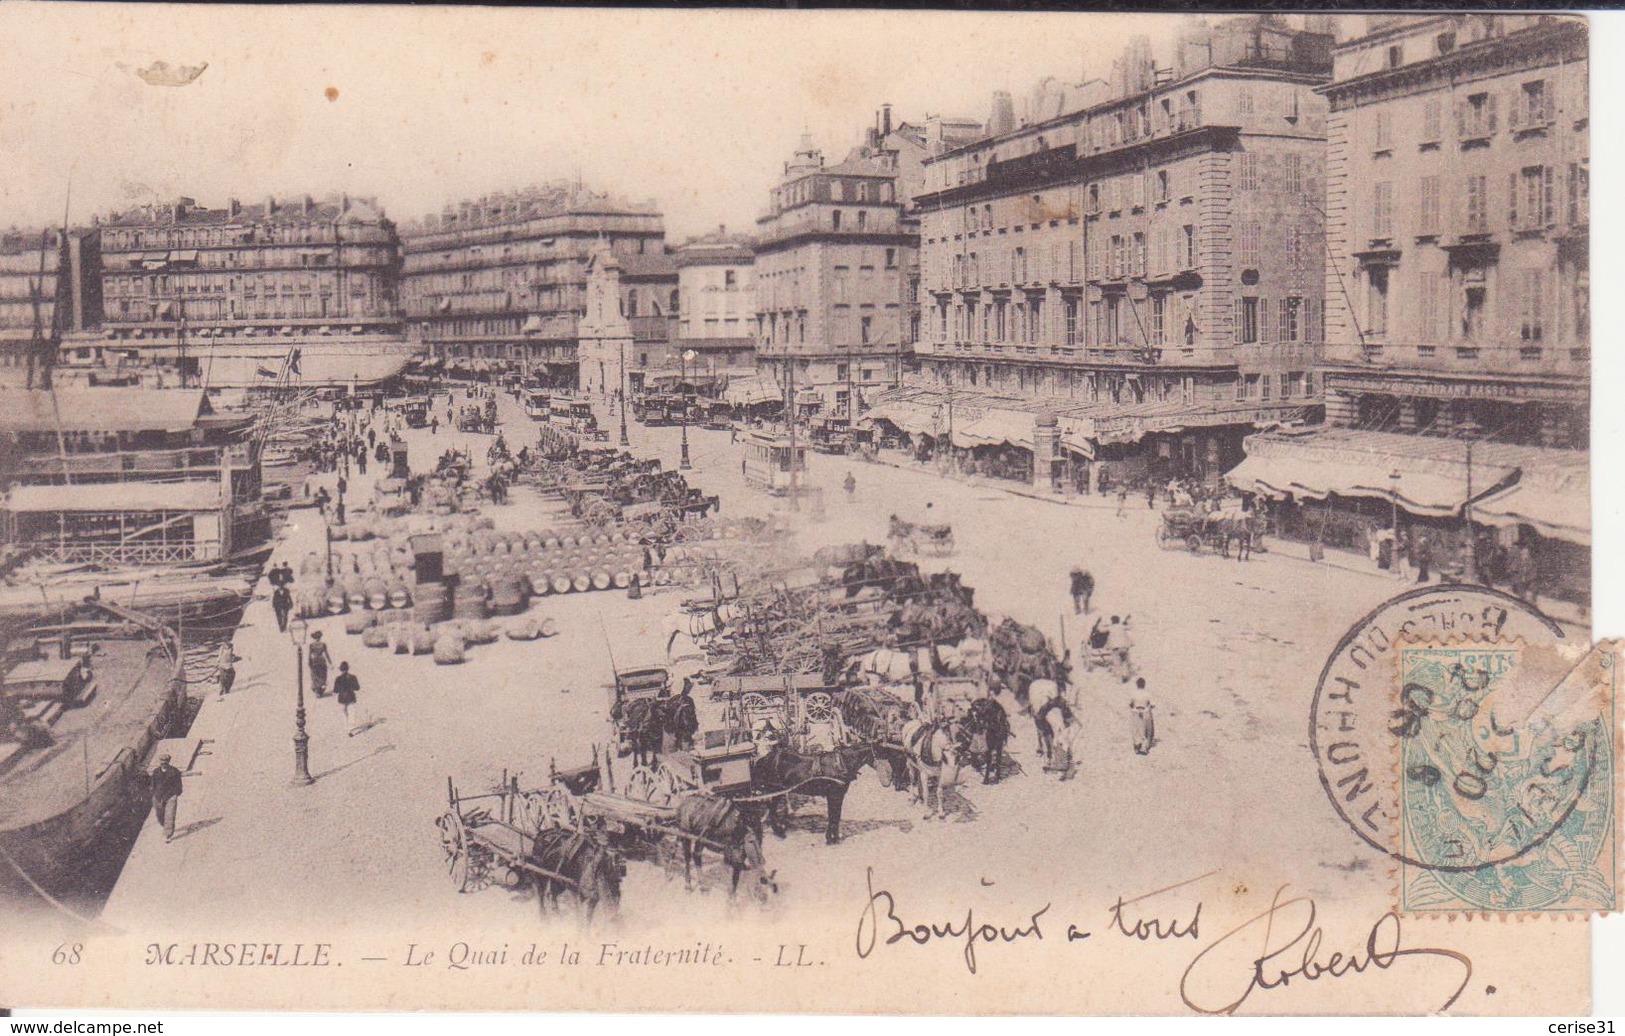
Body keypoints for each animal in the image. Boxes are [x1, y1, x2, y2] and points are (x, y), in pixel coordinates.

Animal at [750, 743, 884, 850]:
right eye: (883, 752)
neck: (841, 763)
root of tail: (765, 758)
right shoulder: (834, 795)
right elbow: (834, 817)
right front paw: (833, 839)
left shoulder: (837, 795)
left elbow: (834, 816)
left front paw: (831, 838)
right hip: (775, 789)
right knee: (772, 810)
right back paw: (779, 833)